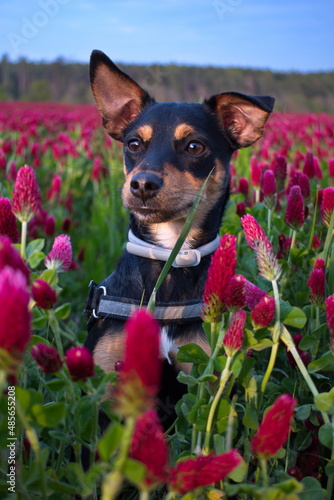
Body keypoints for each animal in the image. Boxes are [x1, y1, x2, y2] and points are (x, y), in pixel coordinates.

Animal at [84, 49, 274, 426]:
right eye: (133, 144)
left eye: (195, 146)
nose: (142, 184)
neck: (169, 259)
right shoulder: (108, 391)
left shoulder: (206, 378)